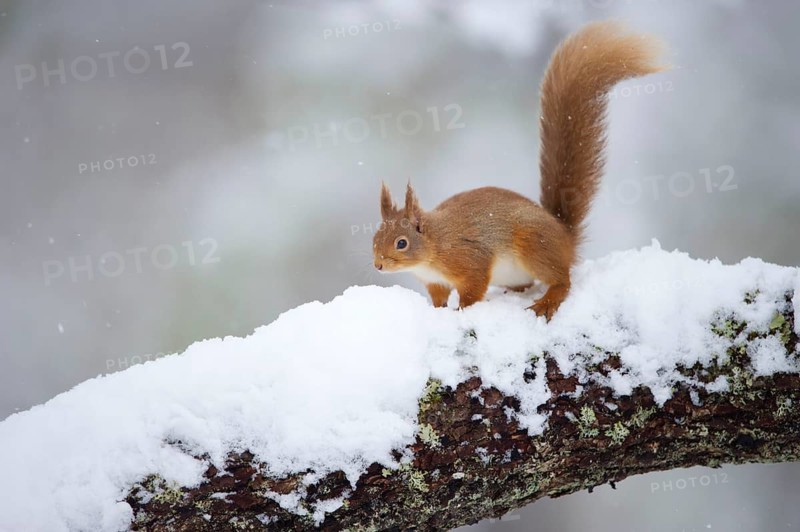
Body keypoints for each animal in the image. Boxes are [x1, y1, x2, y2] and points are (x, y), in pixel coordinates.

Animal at [372, 21, 669, 319]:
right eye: (375, 236)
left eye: (401, 242)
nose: (378, 265)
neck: (434, 245)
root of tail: (565, 239)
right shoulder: (435, 282)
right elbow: (438, 298)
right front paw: (438, 311)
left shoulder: (470, 259)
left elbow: (473, 289)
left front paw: (463, 311)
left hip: (533, 245)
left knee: (562, 280)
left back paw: (547, 301)